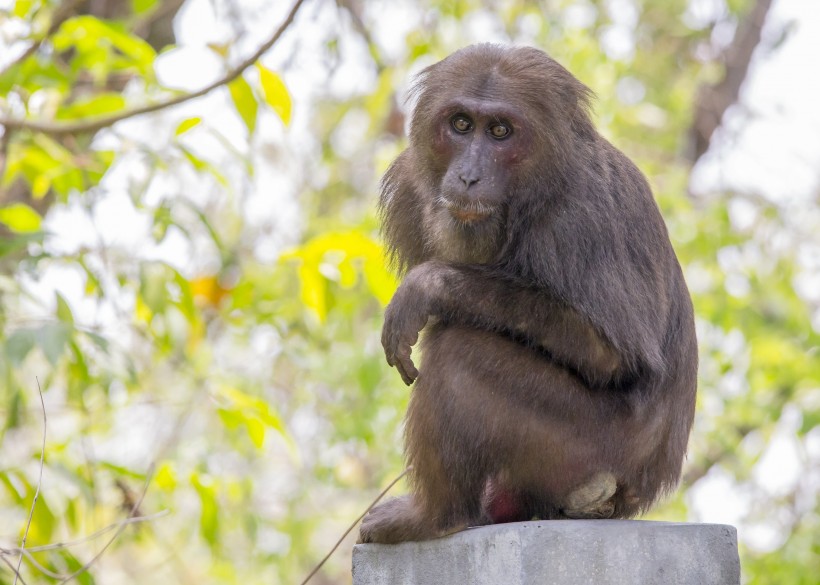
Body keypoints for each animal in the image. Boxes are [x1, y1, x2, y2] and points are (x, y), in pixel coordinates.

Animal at [358, 44, 700, 544]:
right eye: (461, 124)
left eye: (500, 131)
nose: (469, 175)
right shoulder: (408, 190)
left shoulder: (580, 216)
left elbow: (614, 355)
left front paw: (431, 286)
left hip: (587, 453)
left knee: (459, 355)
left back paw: (436, 516)